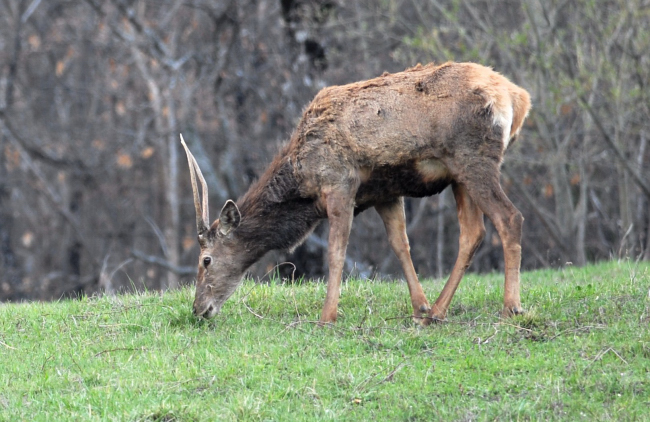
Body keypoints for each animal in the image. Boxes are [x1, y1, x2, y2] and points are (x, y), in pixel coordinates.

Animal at [180, 61, 528, 326]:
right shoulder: (385, 193)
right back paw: (438, 312)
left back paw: (510, 307)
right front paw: (420, 308)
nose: (198, 309)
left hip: (473, 157)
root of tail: (517, 97)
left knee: (510, 217)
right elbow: (400, 245)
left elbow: (336, 253)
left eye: (206, 260)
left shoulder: (339, 184)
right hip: (459, 174)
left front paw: (327, 317)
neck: (302, 180)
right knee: (473, 232)